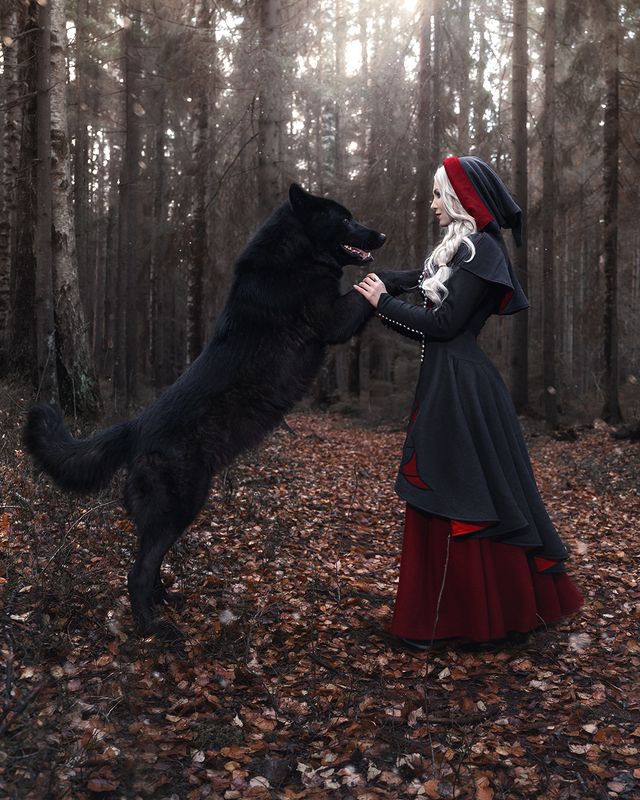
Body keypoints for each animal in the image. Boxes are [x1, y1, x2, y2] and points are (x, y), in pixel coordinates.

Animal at [24, 184, 387, 639]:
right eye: (345, 219)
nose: (382, 236)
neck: (294, 255)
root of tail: (134, 426)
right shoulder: (334, 320)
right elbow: (385, 282)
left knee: (150, 564)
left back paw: (165, 602)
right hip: (181, 504)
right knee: (137, 572)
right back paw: (154, 629)